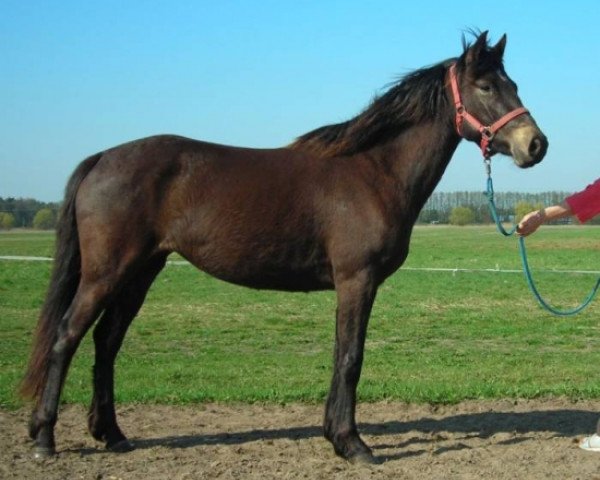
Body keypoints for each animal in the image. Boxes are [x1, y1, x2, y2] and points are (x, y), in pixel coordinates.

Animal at [21, 31, 548, 464]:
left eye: (514, 83)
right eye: (486, 87)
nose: (535, 144)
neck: (373, 171)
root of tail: (102, 157)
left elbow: (342, 354)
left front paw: (336, 435)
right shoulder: (356, 280)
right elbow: (350, 356)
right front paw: (351, 443)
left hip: (141, 271)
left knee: (106, 342)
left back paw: (111, 434)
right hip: (106, 272)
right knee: (67, 336)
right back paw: (45, 438)